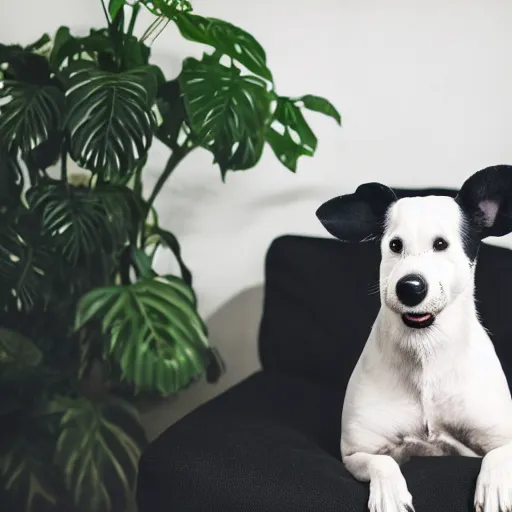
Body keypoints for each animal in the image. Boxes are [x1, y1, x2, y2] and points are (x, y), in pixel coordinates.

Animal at [314, 165, 512, 512]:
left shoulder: (503, 440)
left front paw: (494, 488)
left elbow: (498, 457)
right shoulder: (357, 453)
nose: (410, 287)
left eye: (441, 244)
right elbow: (383, 463)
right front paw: (389, 493)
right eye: (394, 245)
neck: (425, 351)